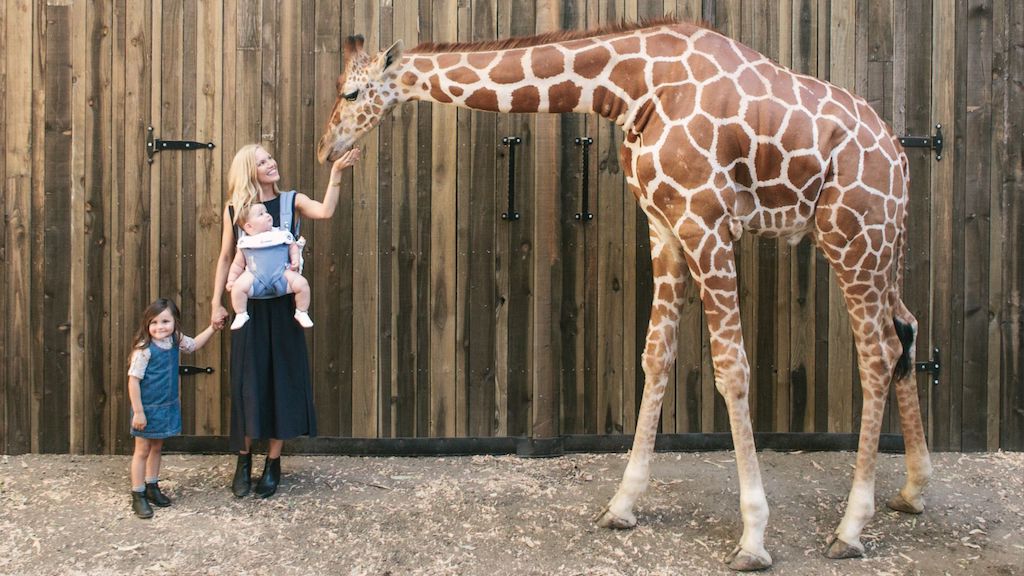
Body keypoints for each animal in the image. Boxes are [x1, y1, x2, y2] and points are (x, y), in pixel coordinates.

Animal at [317, 20, 933, 571]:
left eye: (351, 92)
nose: (326, 149)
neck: (632, 87)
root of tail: (902, 157)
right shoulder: (664, 225)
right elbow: (655, 356)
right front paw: (622, 505)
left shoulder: (706, 222)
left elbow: (732, 370)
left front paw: (754, 537)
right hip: (883, 246)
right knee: (905, 329)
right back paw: (913, 490)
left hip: (852, 237)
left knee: (877, 356)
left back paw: (851, 528)